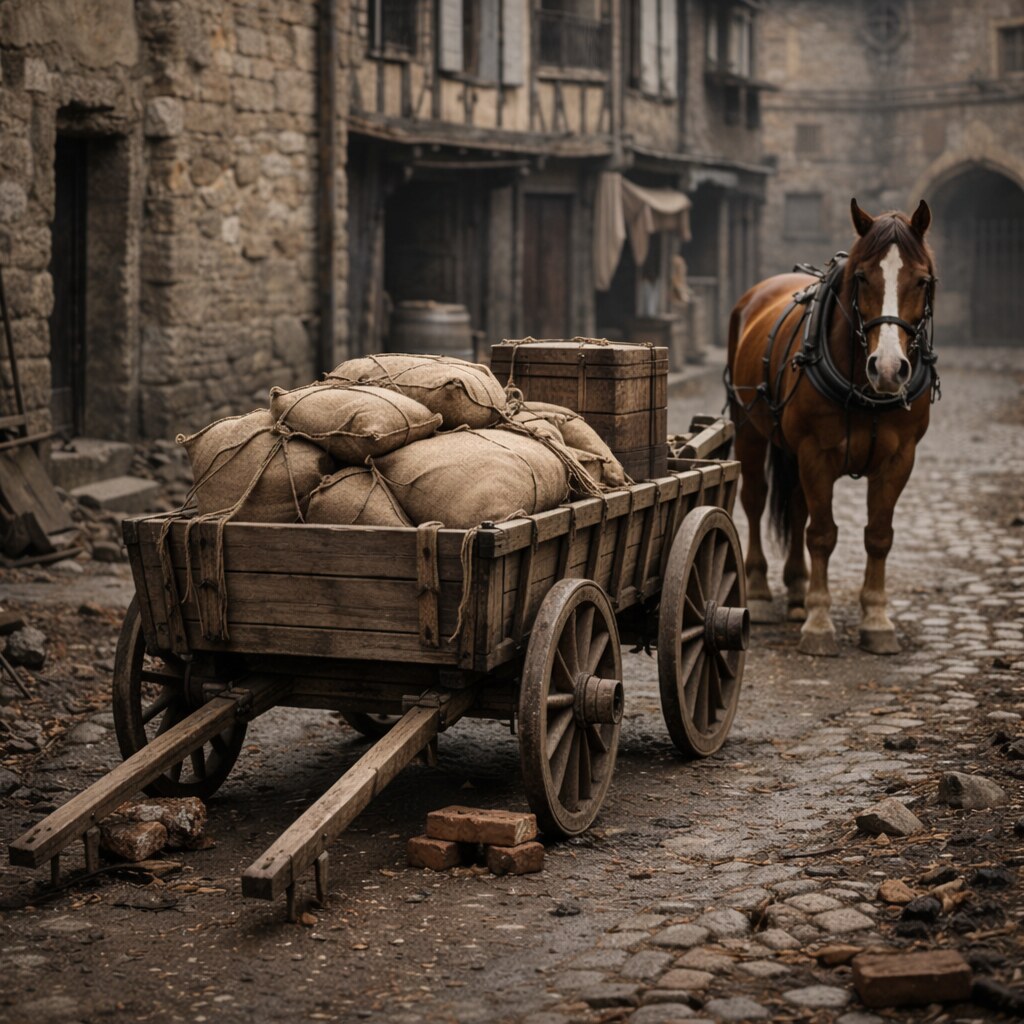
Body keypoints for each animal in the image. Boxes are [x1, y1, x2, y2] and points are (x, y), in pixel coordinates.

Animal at [726, 199, 939, 656]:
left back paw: (795, 592)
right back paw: (761, 590)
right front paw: (820, 624)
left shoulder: (899, 459)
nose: (889, 369)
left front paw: (875, 619)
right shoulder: (816, 453)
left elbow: (878, 535)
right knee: (755, 500)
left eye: (922, 281)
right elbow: (822, 534)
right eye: (861, 277)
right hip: (748, 428)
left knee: (796, 504)